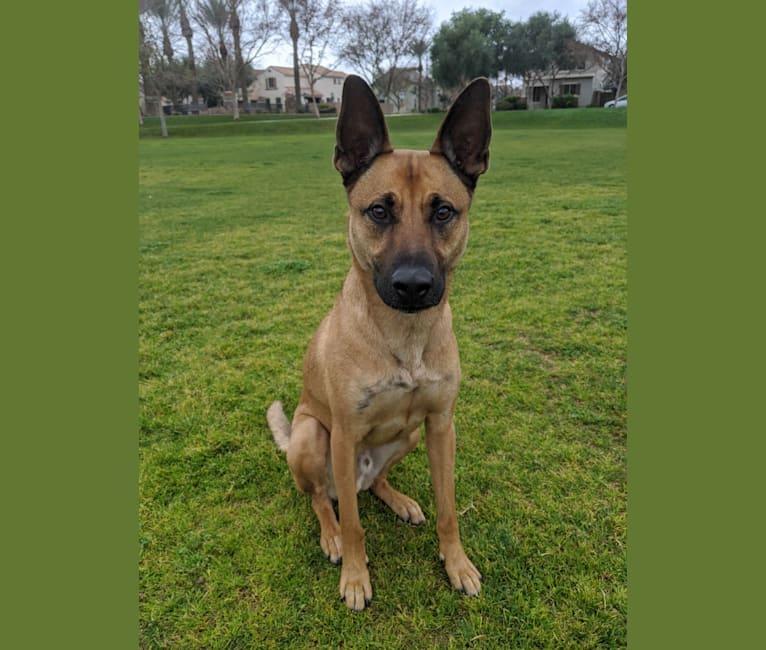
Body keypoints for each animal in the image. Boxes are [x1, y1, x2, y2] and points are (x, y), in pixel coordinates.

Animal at [268, 74, 492, 608]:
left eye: (444, 212)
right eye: (378, 211)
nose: (413, 285)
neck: (404, 340)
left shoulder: (440, 426)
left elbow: (449, 509)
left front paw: (457, 564)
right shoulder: (345, 434)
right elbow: (354, 526)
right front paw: (354, 576)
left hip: (405, 437)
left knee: (374, 485)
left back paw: (399, 499)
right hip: (313, 437)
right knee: (323, 499)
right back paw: (329, 535)